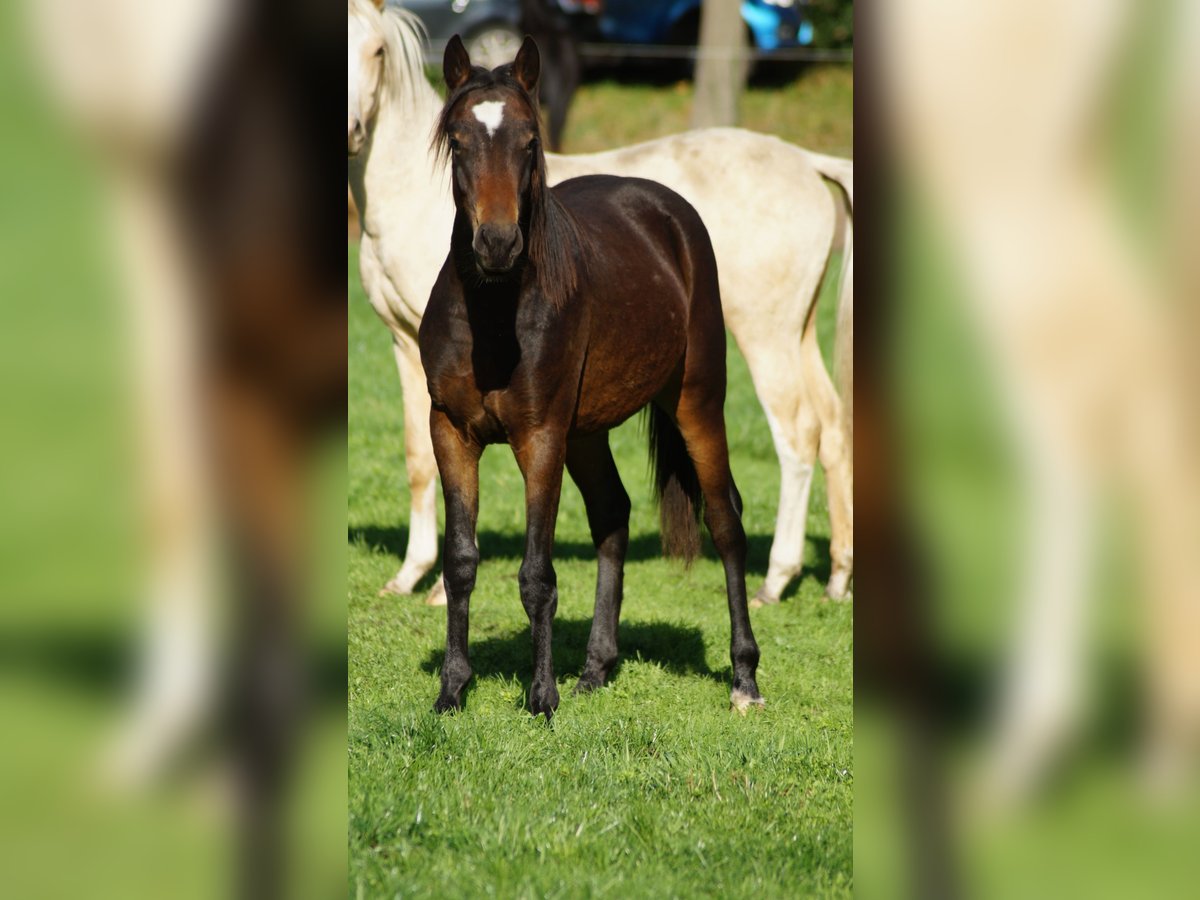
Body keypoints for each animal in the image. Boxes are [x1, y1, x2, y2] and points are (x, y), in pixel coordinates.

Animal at [347, 0, 854, 608]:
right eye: (458, 140)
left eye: (376, 51)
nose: (350, 130)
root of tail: (805, 161)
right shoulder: (407, 349)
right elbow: (418, 460)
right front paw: (411, 575)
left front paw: (437, 590)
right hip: (794, 333)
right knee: (833, 427)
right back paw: (837, 576)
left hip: (757, 339)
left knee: (795, 439)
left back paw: (776, 579)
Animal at [420, 35, 763, 719]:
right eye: (459, 139)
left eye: (530, 140)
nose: (497, 244)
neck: (493, 316)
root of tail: (669, 212)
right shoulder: (451, 432)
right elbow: (462, 561)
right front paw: (452, 690)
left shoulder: (539, 437)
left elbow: (537, 574)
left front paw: (541, 699)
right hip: (586, 433)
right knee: (613, 514)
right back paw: (596, 668)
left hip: (696, 404)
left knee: (726, 522)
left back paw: (744, 679)